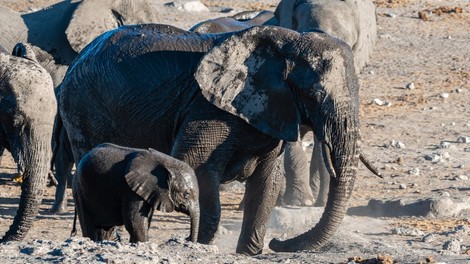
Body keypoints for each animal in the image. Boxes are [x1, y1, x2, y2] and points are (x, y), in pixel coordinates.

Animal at [57, 23, 360, 255]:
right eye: (316, 95)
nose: (277, 243)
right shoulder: (205, 110)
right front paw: (199, 246)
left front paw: (248, 253)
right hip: (81, 108)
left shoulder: (271, 112)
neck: (286, 42)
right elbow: (197, 168)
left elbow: (267, 183)